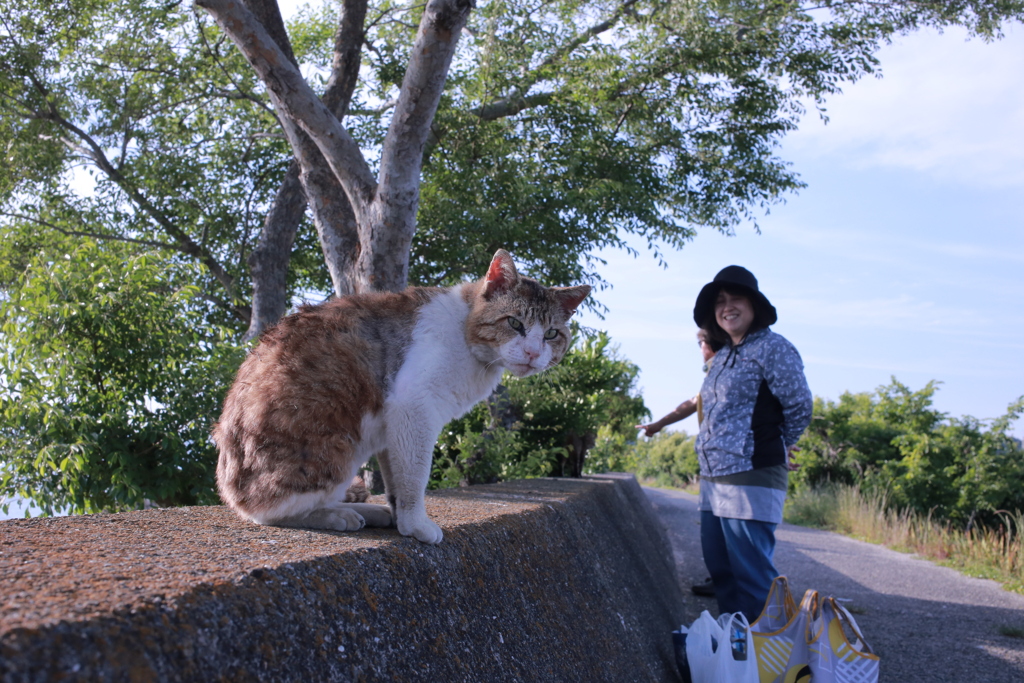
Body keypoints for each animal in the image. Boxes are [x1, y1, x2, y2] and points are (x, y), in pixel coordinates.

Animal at [211, 249, 589, 544]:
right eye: (514, 323)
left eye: (552, 334)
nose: (532, 353)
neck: (467, 338)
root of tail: (230, 487)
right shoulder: (414, 407)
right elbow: (415, 475)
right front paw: (417, 523)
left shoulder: (395, 424)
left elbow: (397, 477)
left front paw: (401, 519)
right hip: (335, 448)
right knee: (267, 512)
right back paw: (336, 515)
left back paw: (364, 511)